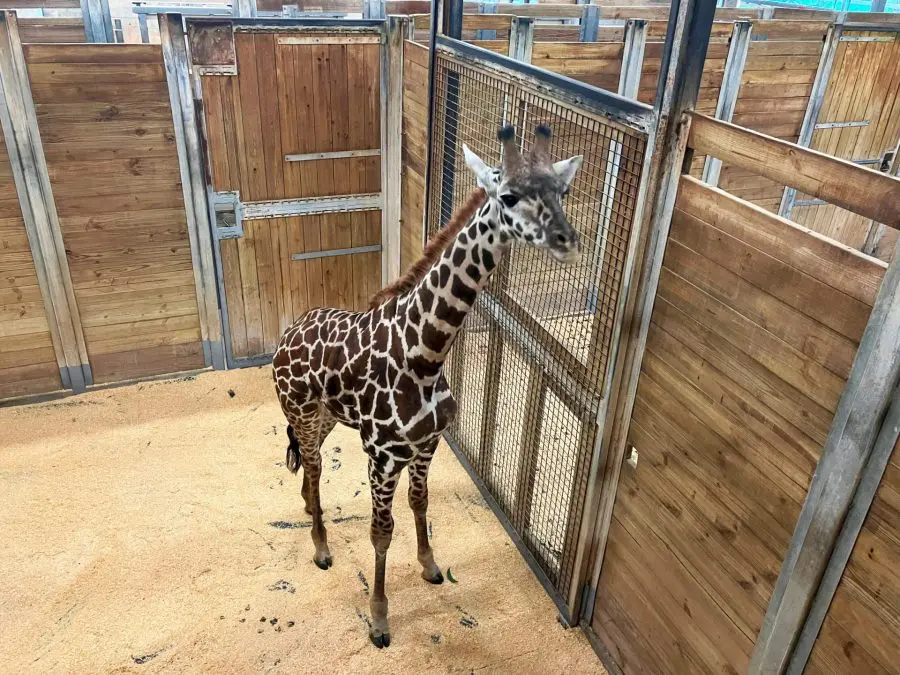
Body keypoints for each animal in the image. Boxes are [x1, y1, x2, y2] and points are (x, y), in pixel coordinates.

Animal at [270, 124, 588, 648]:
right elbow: (381, 531)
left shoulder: (428, 444)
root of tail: (286, 335)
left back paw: (310, 513)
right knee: (313, 465)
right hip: (300, 410)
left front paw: (430, 566)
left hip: (329, 416)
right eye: (508, 195)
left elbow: (420, 503)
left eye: (561, 193)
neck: (426, 355)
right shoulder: (381, 457)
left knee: (309, 468)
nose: (566, 238)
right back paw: (320, 548)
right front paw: (379, 621)